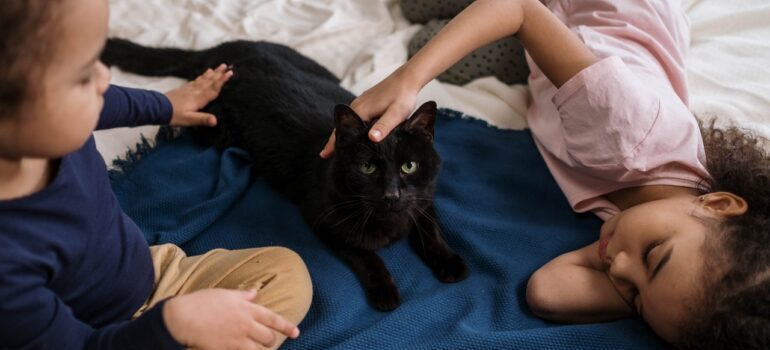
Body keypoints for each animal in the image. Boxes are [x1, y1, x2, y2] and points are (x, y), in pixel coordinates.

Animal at [102, 39, 468, 312]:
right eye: (368, 168)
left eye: (409, 166)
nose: (392, 194)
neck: (388, 224)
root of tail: (222, 49)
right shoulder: (323, 218)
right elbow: (365, 254)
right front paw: (385, 290)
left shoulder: (424, 196)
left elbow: (430, 229)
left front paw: (450, 263)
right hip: (216, 130)